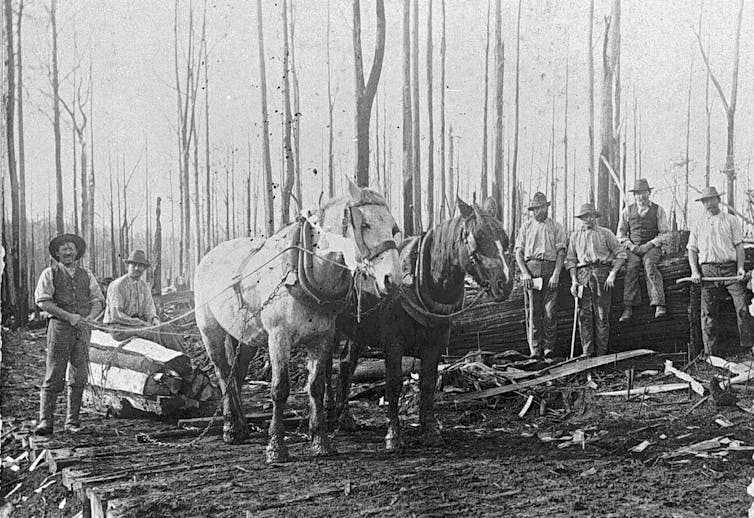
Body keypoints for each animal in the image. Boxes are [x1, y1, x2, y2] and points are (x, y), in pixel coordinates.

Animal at [197, 181, 402, 466]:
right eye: (365, 225)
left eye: (393, 228)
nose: (392, 279)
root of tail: (209, 255)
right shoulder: (278, 337)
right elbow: (279, 388)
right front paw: (276, 446)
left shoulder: (322, 338)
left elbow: (315, 386)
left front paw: (321, 442)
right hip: (210, 330)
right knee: (222, 371)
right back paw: (230, 427)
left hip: (245, 337)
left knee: (236, 375)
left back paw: (241, 426)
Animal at [334, 198, 516, 450]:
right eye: (476, 238)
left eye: (505, 239)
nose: (505, 284)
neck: (420, 279)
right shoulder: (393, 343)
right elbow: (394, 383)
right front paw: (393, 435)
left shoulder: (435, 344)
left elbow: (428, 383)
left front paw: (430, 431)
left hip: (358, 333)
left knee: (346, 364)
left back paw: (344, 418)